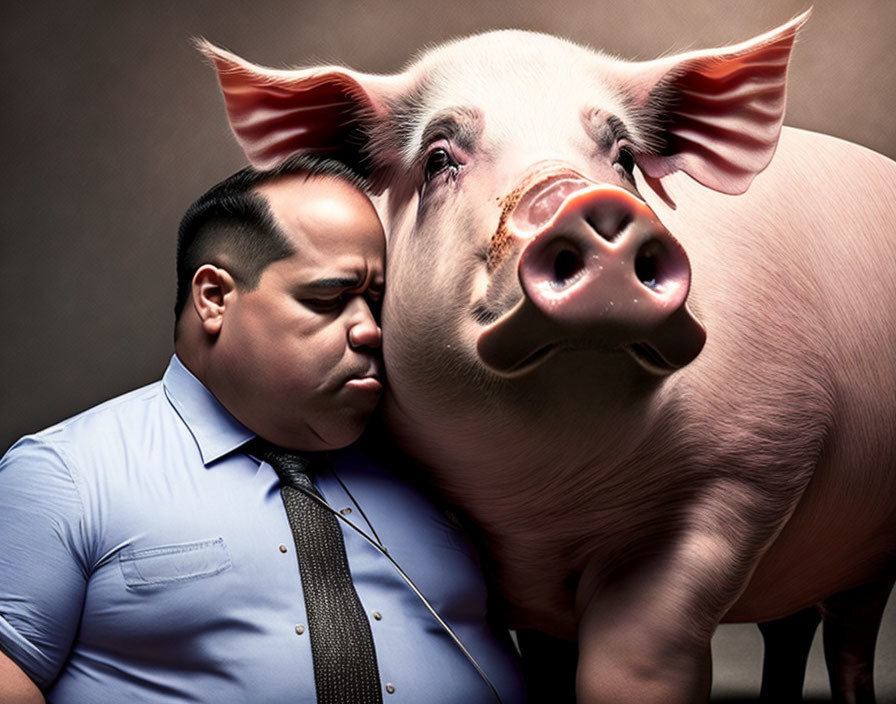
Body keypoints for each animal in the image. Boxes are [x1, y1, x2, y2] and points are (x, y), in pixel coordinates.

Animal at [198, 12, 896, 704]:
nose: (588, 202)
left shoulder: (754, 464)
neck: (543, 496)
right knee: (795, 624)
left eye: (624, 157)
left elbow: (633, 658)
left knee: (848, 632)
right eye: (438, 157)